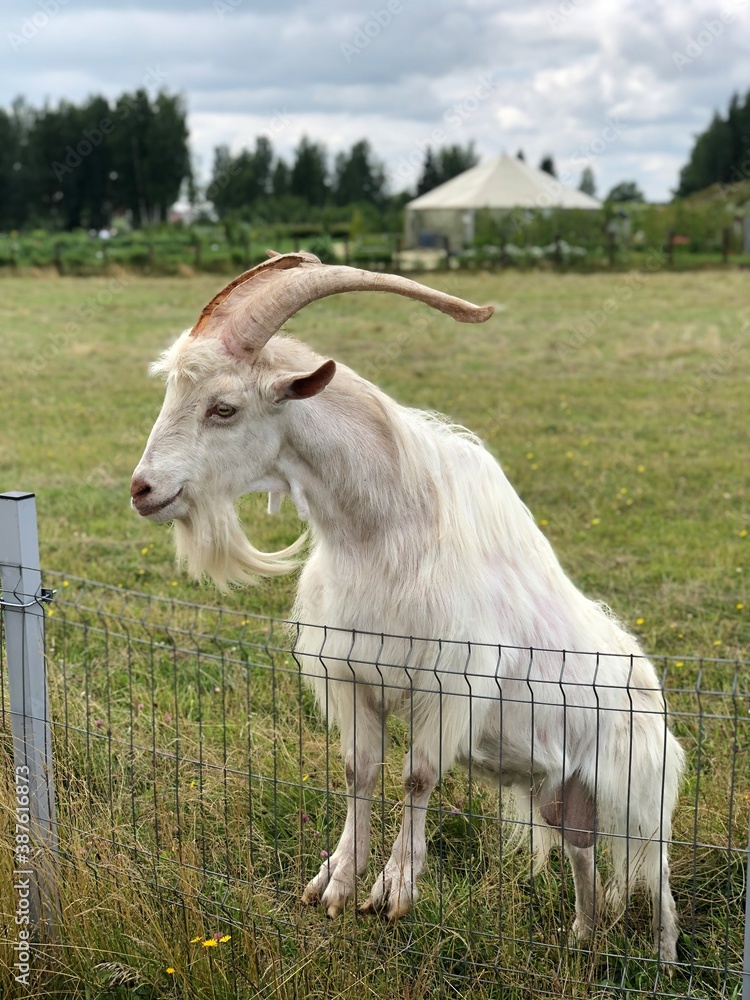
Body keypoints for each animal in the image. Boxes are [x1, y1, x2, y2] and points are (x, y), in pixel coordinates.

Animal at [131, 251, 684, 961]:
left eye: (223, 408)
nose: (144, 490)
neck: (381, 533)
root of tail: (649, 686)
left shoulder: (450, 685)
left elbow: (417, 775)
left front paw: (396, 888)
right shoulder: (349, 676)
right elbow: (358, 769)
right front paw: (337, 880)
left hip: (640, 790)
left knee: (657, 874)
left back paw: (664, 962)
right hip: (563, 793)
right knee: (582, 850)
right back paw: (583, 942)